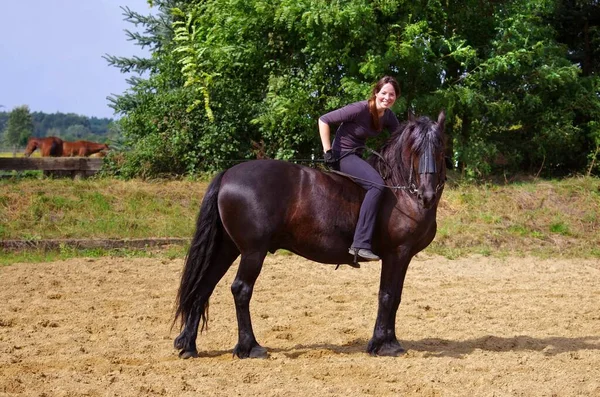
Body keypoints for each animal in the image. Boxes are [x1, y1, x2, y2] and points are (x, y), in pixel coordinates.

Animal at [173, 110, 446, 358]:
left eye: (440, 148)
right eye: (415, 149)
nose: (427, 195)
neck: (399, 191)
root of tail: (228, 174)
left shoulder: (401, 256)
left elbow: (395, 296)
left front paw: (387, 341)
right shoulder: (397, 254)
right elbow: (388, 296)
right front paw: (385, 344)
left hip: (226, 248)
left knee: (203, 287)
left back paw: (188, 345)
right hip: (252, 252)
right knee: (241, 290)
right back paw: (250, 347)